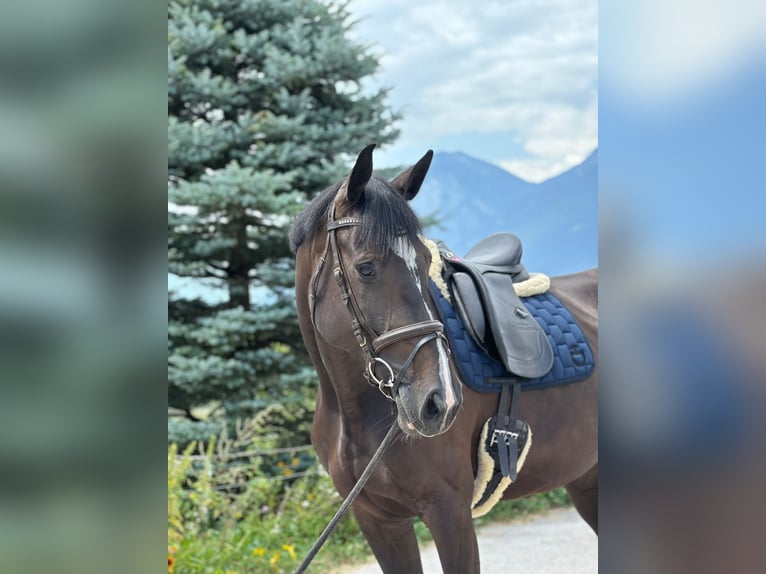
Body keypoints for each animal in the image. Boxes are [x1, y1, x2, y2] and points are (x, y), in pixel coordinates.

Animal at [289, 144, 598, 573]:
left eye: (425, 261)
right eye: (365, 268)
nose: (442, 402)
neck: (352, 413)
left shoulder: (448, 512)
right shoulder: (378, 521)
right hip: (587, 480)